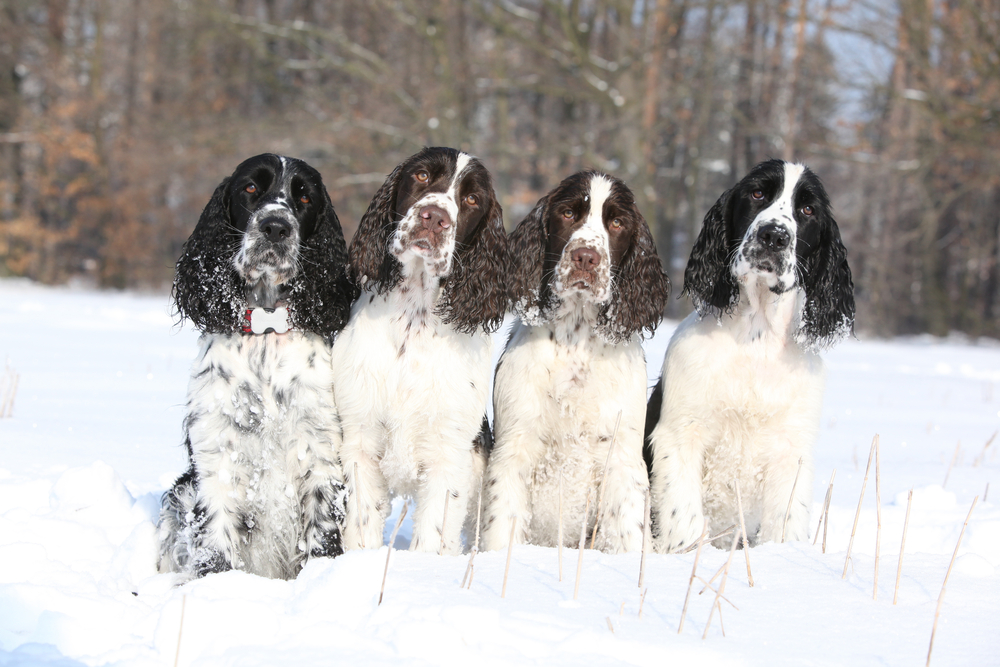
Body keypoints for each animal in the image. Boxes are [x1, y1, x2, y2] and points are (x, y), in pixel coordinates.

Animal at [158, 155, 358, 580]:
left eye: (304, 196)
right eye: (250, 188)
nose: (276, 227)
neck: (267, 328)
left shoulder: (320, 448)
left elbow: (322, 533)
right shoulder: (217, 449)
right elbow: (215, 537)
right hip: (179, 494)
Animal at [332, 149, 512, 556]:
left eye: (472, 199)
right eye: (422, 175)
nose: (435, 218)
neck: (413, 317)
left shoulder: (449, 450)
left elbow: (434, 532)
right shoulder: (359, 439)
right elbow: (361, 525)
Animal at [480, 171, 668, 552]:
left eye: (616, 222)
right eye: (567, 214)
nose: (586, 258)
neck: (575, 340)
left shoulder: (621, 454)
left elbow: (628, 532)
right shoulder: (513, 447)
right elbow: (503, 526)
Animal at [644, 158, 856, 552]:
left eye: (808, 210)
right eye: (757, 193)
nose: (774, 236)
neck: (756, 338)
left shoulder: (791, 449)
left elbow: (785, 525)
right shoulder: (679, 435)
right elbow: (684, 520)